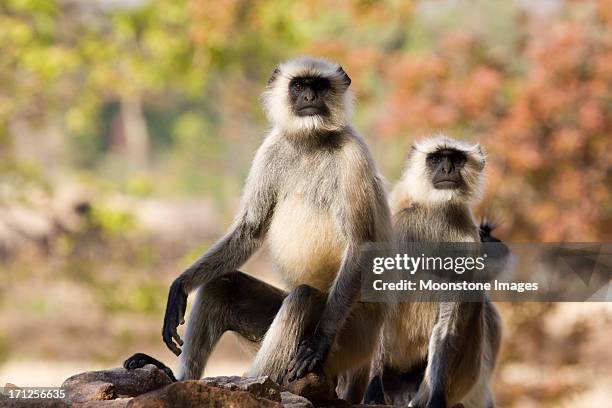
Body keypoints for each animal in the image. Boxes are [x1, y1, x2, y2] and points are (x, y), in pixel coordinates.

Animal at [124, 55, 392, 402]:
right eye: (299, 86)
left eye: (319, 86)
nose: (309, 97)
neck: (310, 142)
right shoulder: (272, 147)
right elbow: (251, 228)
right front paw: (180, 286)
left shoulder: (353, 156)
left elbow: (360, 244)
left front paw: (317, 342)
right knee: (223, 286)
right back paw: (177, 378)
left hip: (351, 338)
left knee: (303, 298)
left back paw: (255, 384)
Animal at [364, 136, 502, 408]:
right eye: (436, 159)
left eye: (456, 158)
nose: (447, 169)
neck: (435, 211)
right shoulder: (400, 224)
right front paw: (373, 391)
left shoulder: (466, 242)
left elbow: (447, 325)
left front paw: (437, 398)